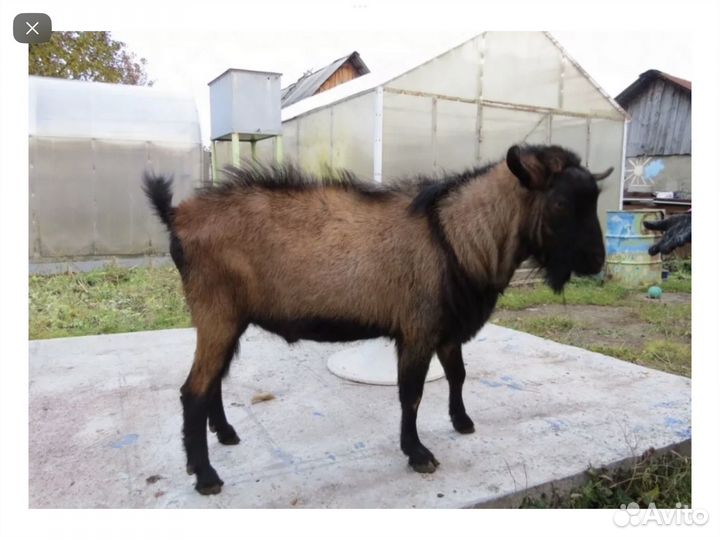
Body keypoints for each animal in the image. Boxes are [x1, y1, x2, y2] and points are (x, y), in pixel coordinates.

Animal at [143, 144, 612, 495]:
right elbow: (411, 394)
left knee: (214, 381)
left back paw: (225, 434)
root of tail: (178, 218)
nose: (596, 261)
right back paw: (205, 475)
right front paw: (418, 453)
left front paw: (462, 422)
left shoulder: (445, 328)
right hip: (215, 310)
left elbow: (458, 374)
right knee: (193, 390)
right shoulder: (418, 328)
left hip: (229, 317)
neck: (455, 235)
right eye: (561, 202)